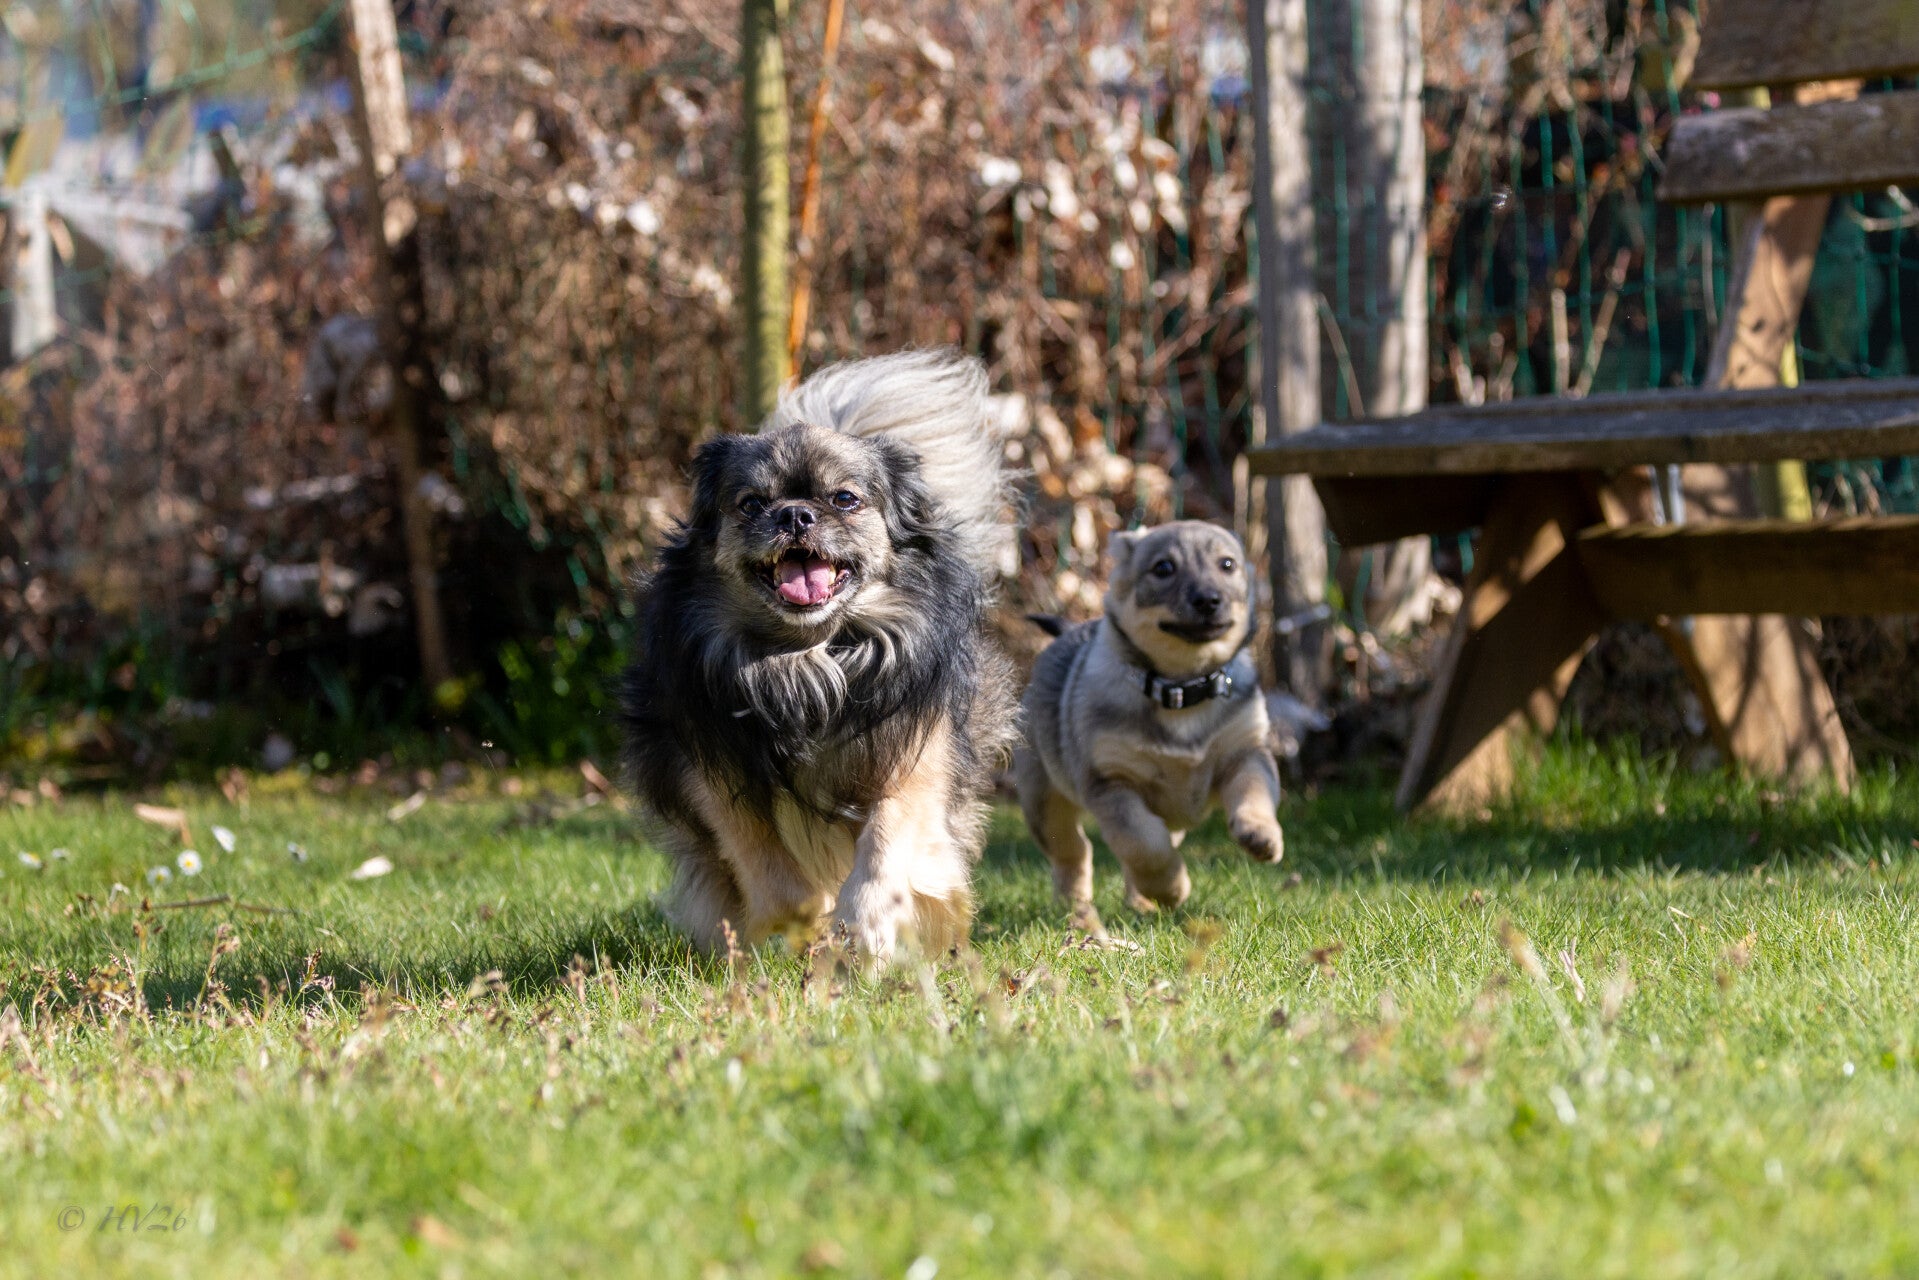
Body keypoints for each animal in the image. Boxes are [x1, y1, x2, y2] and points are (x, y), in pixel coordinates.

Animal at [622, 350, 1018, 964]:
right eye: (752, 504)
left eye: (844, 499)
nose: (794, 515)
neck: (806, 659)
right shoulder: (711, 770)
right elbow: (775, 874)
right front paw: (811, 929)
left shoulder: (916, 754)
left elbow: (885, 842)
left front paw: (866, 926)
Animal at [1014, 521, 1284, 912]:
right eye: (1163, 568)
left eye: (1228, 565)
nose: (1208, 600)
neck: (1181, 690)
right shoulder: (1112, 782)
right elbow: (1145, 844)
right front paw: (1171, 888)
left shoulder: (1246, 753)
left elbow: (1254, 792)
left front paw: (1260, 834)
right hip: (1043, 801)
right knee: (1074, 851)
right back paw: (1075, 906)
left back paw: (1140, 904)